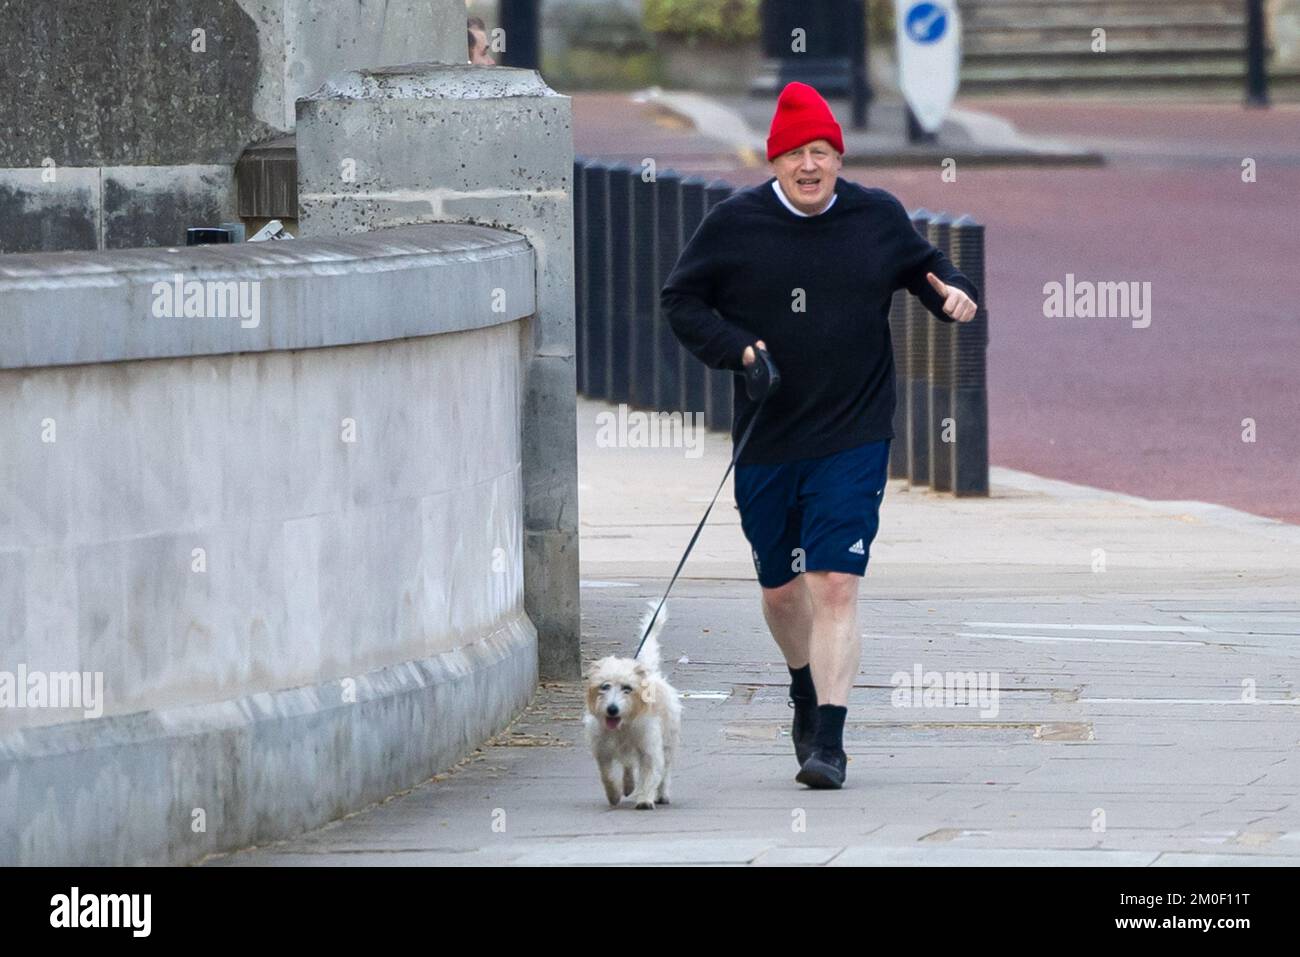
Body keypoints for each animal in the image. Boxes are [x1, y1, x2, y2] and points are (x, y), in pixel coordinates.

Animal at [585, 598, 686, 806]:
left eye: (627, 688)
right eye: (605, 686)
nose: (612, 709)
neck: (622, 726)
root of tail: (652, 674)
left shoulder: (649, 747)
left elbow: (650, 773)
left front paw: (646, 798)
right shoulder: (602, 749)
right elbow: (606, 774)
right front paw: (614, 795)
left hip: (668, 741)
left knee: (665, 770)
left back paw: (661, 794)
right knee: (628, 765)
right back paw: (628, 785)